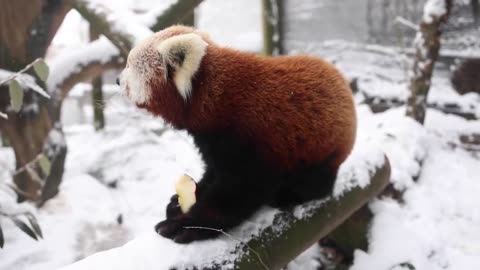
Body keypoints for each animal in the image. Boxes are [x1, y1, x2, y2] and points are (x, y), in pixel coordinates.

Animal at [119, 25, 356, 245]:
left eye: (129, 67)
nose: (117, 80)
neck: (214, 101)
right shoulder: (212, 142)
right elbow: (213, 174)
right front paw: (181, 202)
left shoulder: (253, 142)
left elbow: (236, 194)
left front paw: (188, 224)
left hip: (321, 150)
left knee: (316, 182)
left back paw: (290, 195)